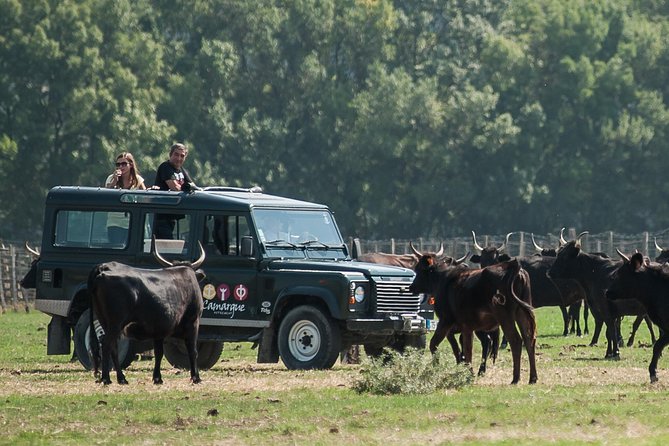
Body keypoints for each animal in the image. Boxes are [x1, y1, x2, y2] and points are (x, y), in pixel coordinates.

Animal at [87, 242, 205, 386]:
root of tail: (103, 267)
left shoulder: (159, 330)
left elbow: (159, 353)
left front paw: (157, 378)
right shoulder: (193, 322)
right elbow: (192, 350)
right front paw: (196, 377)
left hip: (105, 321)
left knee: (112, 346)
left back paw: (121, 378)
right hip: (115, 323)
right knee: (106, 344)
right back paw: (106, 378)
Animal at [410, 256, 536, 386]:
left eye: (420, 270)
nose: (411, 287)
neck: (443, 279)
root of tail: (512, 266)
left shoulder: (445, 321)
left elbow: (436, 344)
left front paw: (439, 367)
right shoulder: (467, 327)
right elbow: (465, 348)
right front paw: (465, 371)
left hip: (505, 317)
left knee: (516, 341)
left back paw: (515, 378)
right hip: (522, 313)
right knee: (529, 340)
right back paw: (532, 378)